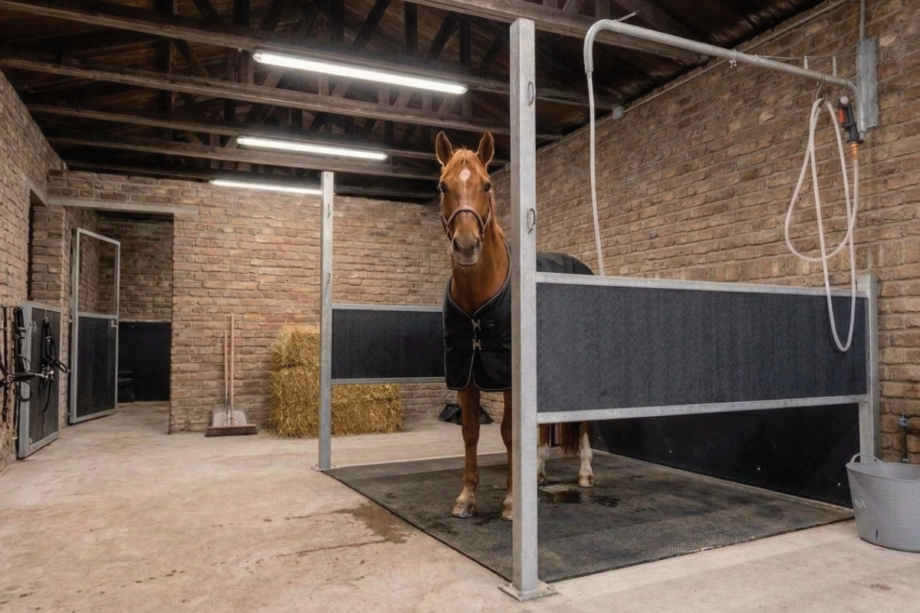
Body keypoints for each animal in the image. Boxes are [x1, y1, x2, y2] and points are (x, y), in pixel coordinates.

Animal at [436, 130, 595, 521]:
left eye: (488, 184)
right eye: (443, 186)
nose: (466, 247)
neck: (478, 297)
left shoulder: (506, 375)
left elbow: (509, 432)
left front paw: (511, 502)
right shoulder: (465, 371)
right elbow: (471, 431)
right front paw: (466, 497)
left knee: (584, 418)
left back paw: (585, 472)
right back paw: (537, 470)